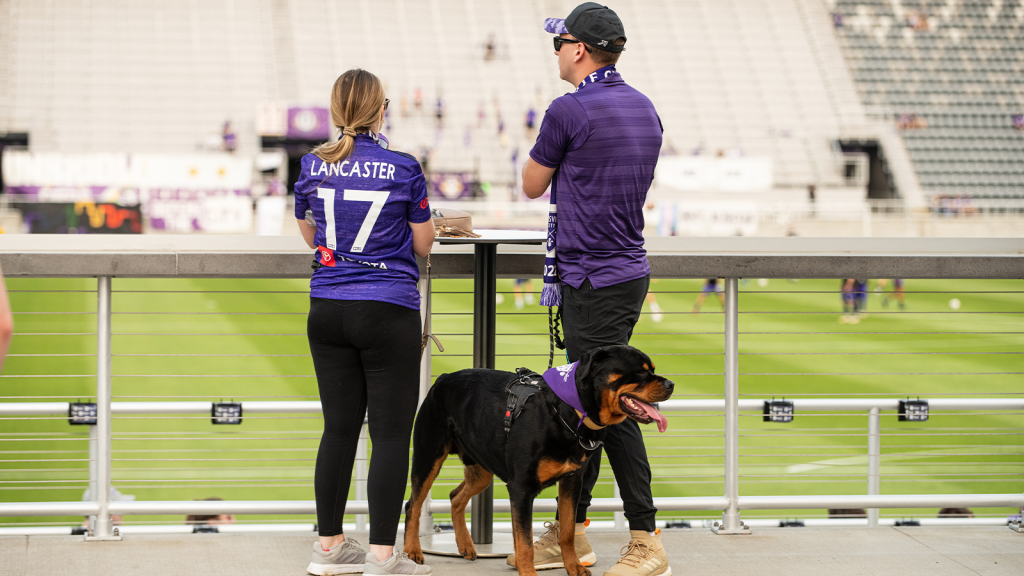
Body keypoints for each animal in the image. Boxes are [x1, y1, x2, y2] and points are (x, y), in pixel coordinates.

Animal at [403, 342, 675, 569]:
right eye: (640, 373)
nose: (671, 384)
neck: (569, 412)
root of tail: (443, 378)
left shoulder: (572, 481)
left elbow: (567, 531)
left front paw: (574, 567)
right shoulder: (521, 488)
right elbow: (524, 545)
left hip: (481, 467)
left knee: (455, 496)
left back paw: (466, 545)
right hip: (429, 456)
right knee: (413, 504)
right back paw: (413, 551)